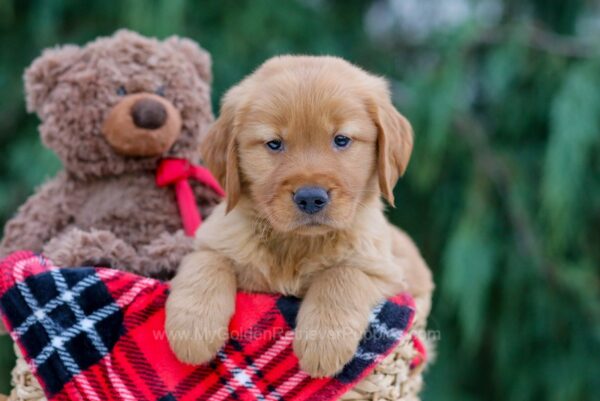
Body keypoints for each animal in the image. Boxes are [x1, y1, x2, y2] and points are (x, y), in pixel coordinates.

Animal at [166, 55, 434, 376]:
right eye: (274, 143)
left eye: (341, 140)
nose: (310, 198)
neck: (296, 244)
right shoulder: (212, 239)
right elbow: (206, 262)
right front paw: (192, 330)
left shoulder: (387, 275)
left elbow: (343, 274)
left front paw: (323, 343)